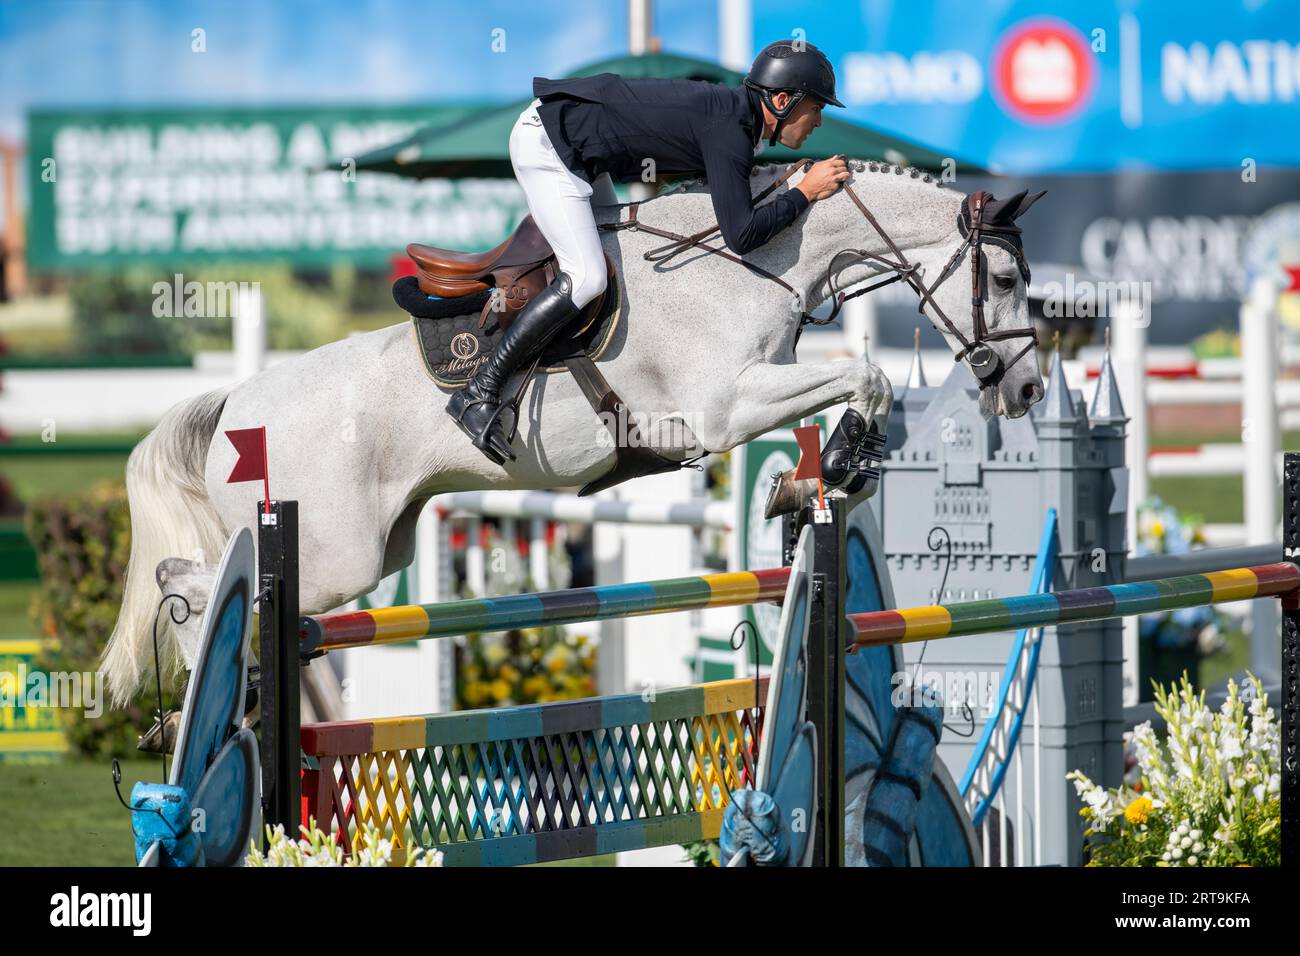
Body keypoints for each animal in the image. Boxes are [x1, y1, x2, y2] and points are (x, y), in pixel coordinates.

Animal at [109, 160, 1045, 707]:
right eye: (1002, 278)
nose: (1029, 387)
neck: (753, 262)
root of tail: (236, 404)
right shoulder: (723, 408)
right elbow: (870, 376)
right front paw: (833, 465)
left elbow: (864, 384)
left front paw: (811, 479)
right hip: (332, 549)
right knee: (189, 580)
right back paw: (208, 695)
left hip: (379, 547)